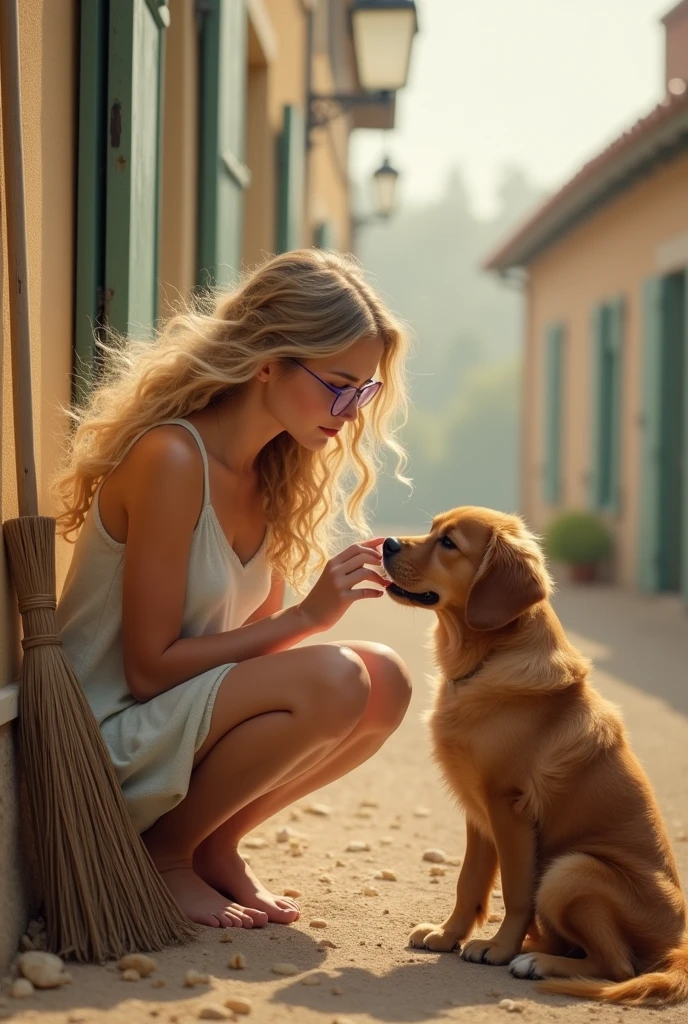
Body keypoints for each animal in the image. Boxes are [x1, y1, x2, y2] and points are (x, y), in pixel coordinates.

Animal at [380, 507, 688, 1003]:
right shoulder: (477, 810)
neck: (484, 661)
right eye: (431, 528)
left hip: (572, 870)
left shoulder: (510, 808)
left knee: (617, 965)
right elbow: (469, 881)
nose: (386, 543)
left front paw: (498, 948)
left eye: (449, 543)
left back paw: (534, 961)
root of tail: (676, 949)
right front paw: (448, 936)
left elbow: (515, 891)